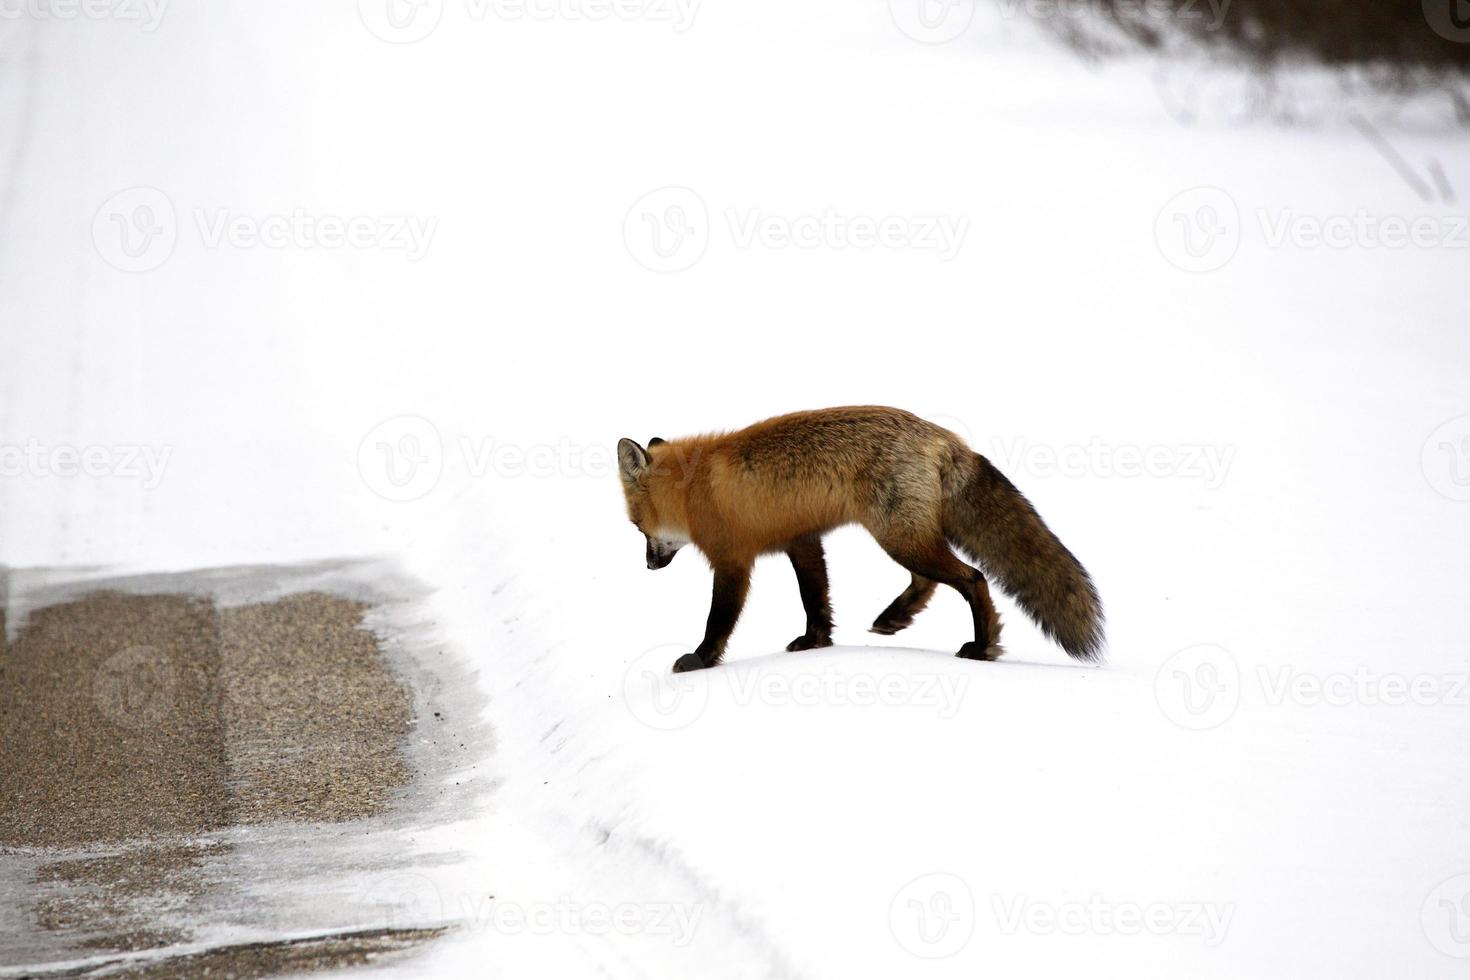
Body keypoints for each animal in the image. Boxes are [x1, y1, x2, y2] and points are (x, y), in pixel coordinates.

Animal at [611, 405, 1105, 675]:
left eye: (638, 528)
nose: (648, 566)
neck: (697, 488)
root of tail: (945, 437)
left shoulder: (732, 560)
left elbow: (719, 620)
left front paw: (700, 660)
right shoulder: (802, 540)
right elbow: (816, 599)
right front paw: (815, 643)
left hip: (900, 538)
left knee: (973, 578)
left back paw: (982, 648)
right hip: (907, 537)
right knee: (929, 581)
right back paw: (895, 617)